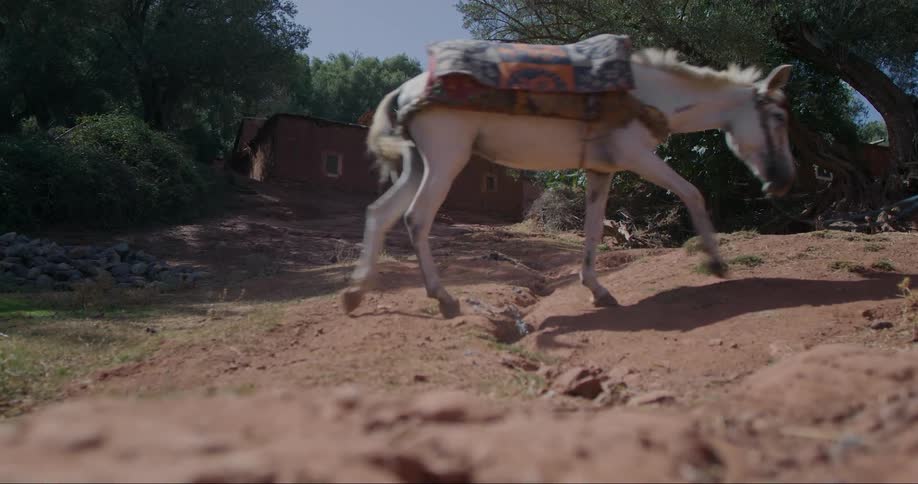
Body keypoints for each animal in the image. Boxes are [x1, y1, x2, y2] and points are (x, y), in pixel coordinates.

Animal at [340, 41, 796, 319]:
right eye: (778, 116)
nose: (784, 182)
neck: (648, 93)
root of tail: (404, 92)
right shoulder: (637, 157)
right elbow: (692, 193)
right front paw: (717, 263)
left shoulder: (601, 169)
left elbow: (593, 229)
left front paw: (597, 289)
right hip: (445, 159)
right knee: (416, 218)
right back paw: (444, 298)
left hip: (419, 164)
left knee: (379, 213)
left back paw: (355, 293)